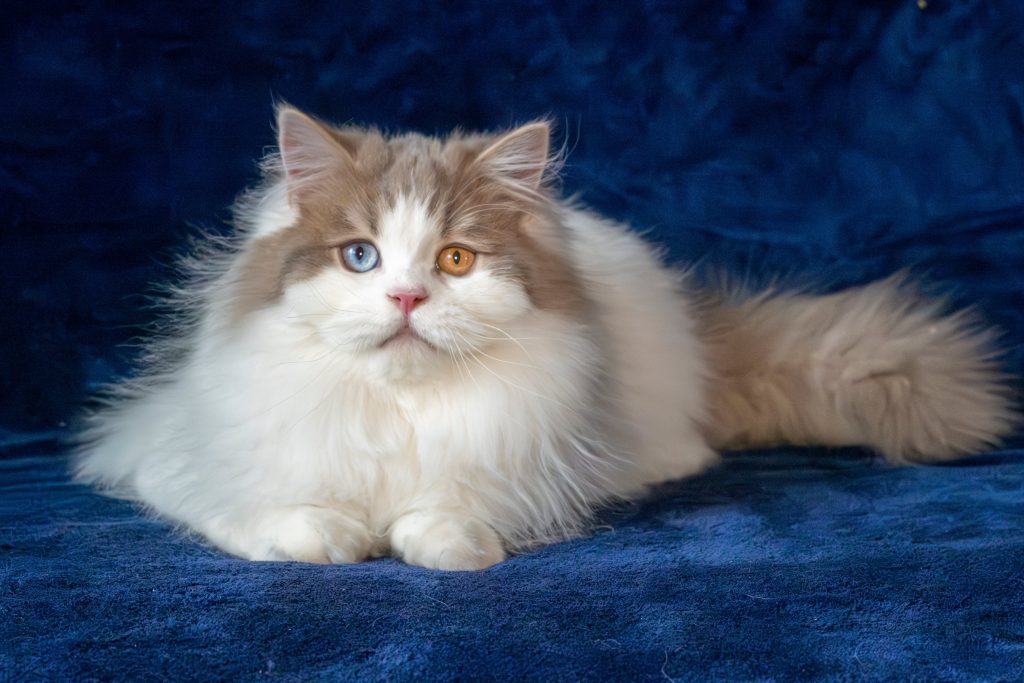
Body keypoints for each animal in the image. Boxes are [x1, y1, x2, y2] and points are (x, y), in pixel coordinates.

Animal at [70, 104, 1015, 569]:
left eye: (455, 258)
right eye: (360, 255)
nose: (406, 295)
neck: (397, 408)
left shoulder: (535, 464)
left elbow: (455, 515)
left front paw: (439, 544)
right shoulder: (168, 459)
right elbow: (277, 519)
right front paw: (337, 537)